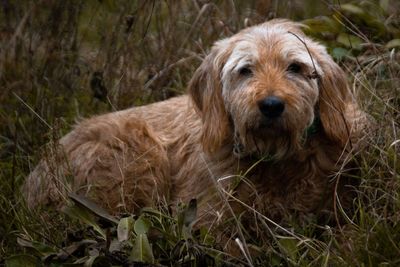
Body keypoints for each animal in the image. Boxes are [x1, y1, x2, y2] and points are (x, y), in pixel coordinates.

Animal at [24, 18, 368, 231]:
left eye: (295, 67)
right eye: (246, 70)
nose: (271, 105)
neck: (276, 159)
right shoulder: (206, 217)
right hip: (138, 150)